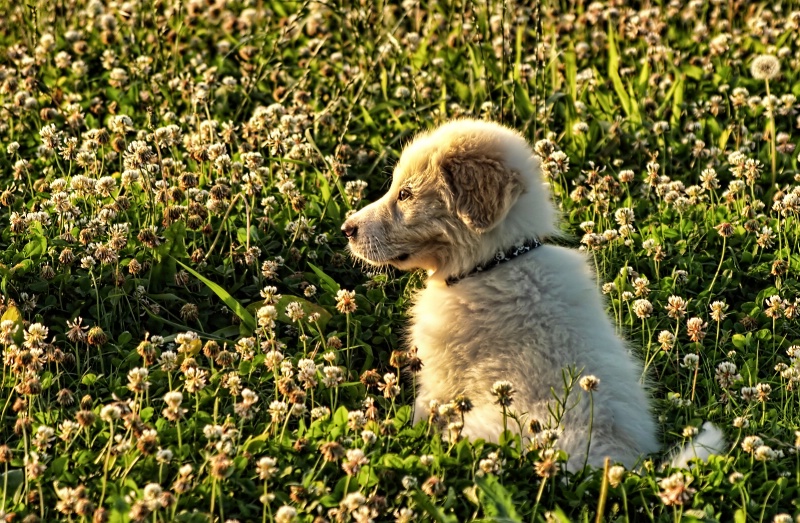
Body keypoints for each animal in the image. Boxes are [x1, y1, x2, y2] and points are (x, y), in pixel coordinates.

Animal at [340, 118, 720, 470]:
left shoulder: (440, 377)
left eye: (405, 194)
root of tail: (618, 461)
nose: (347, 229)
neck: (499, 259)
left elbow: (421, 415)